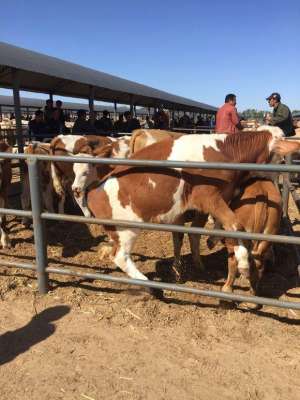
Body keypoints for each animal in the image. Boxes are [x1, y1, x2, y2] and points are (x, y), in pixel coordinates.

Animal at [85, 129, 290, 288]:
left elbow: (214, 225)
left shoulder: (219, 197)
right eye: (279, 158)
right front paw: (244, 263)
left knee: (116, 252)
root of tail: (94, 190)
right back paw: (147, 283)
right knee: (120, 256)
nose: (275, 184)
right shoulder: (208, 196)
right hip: (126, 229)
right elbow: (234, 224)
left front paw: (211, 242)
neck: (225, 152)